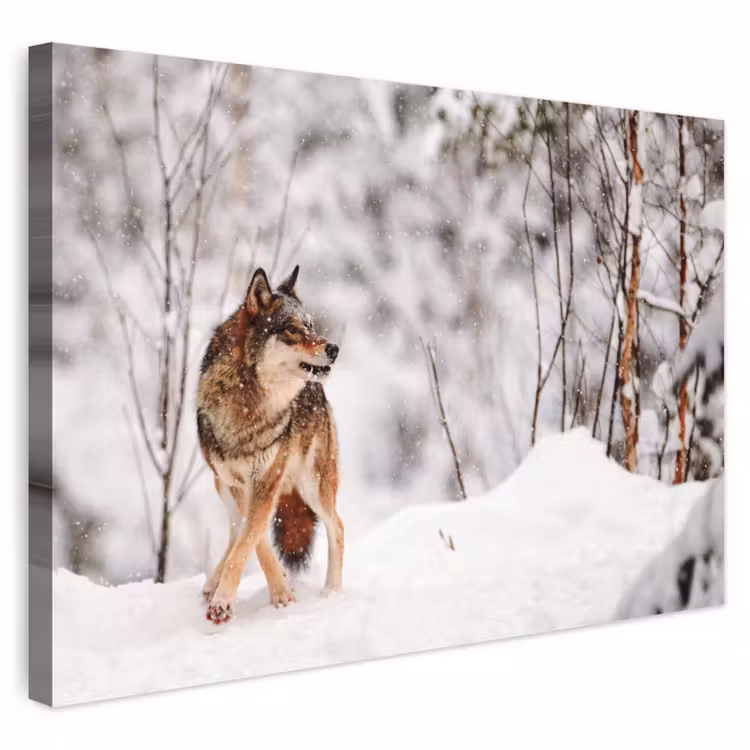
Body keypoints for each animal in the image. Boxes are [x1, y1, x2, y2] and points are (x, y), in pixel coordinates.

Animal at [196, 265, 343, 625]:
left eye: (311, 326)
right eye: (292, 329)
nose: (333, 348)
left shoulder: (265, 481)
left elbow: (251, 538)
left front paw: (229, 602)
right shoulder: (238, 483)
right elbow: (254, 539)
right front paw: (280, 592)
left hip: (314, 486)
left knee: (338, 527)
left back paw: (332, 591)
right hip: (222, 486)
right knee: (235, 529)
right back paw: (212, 582)